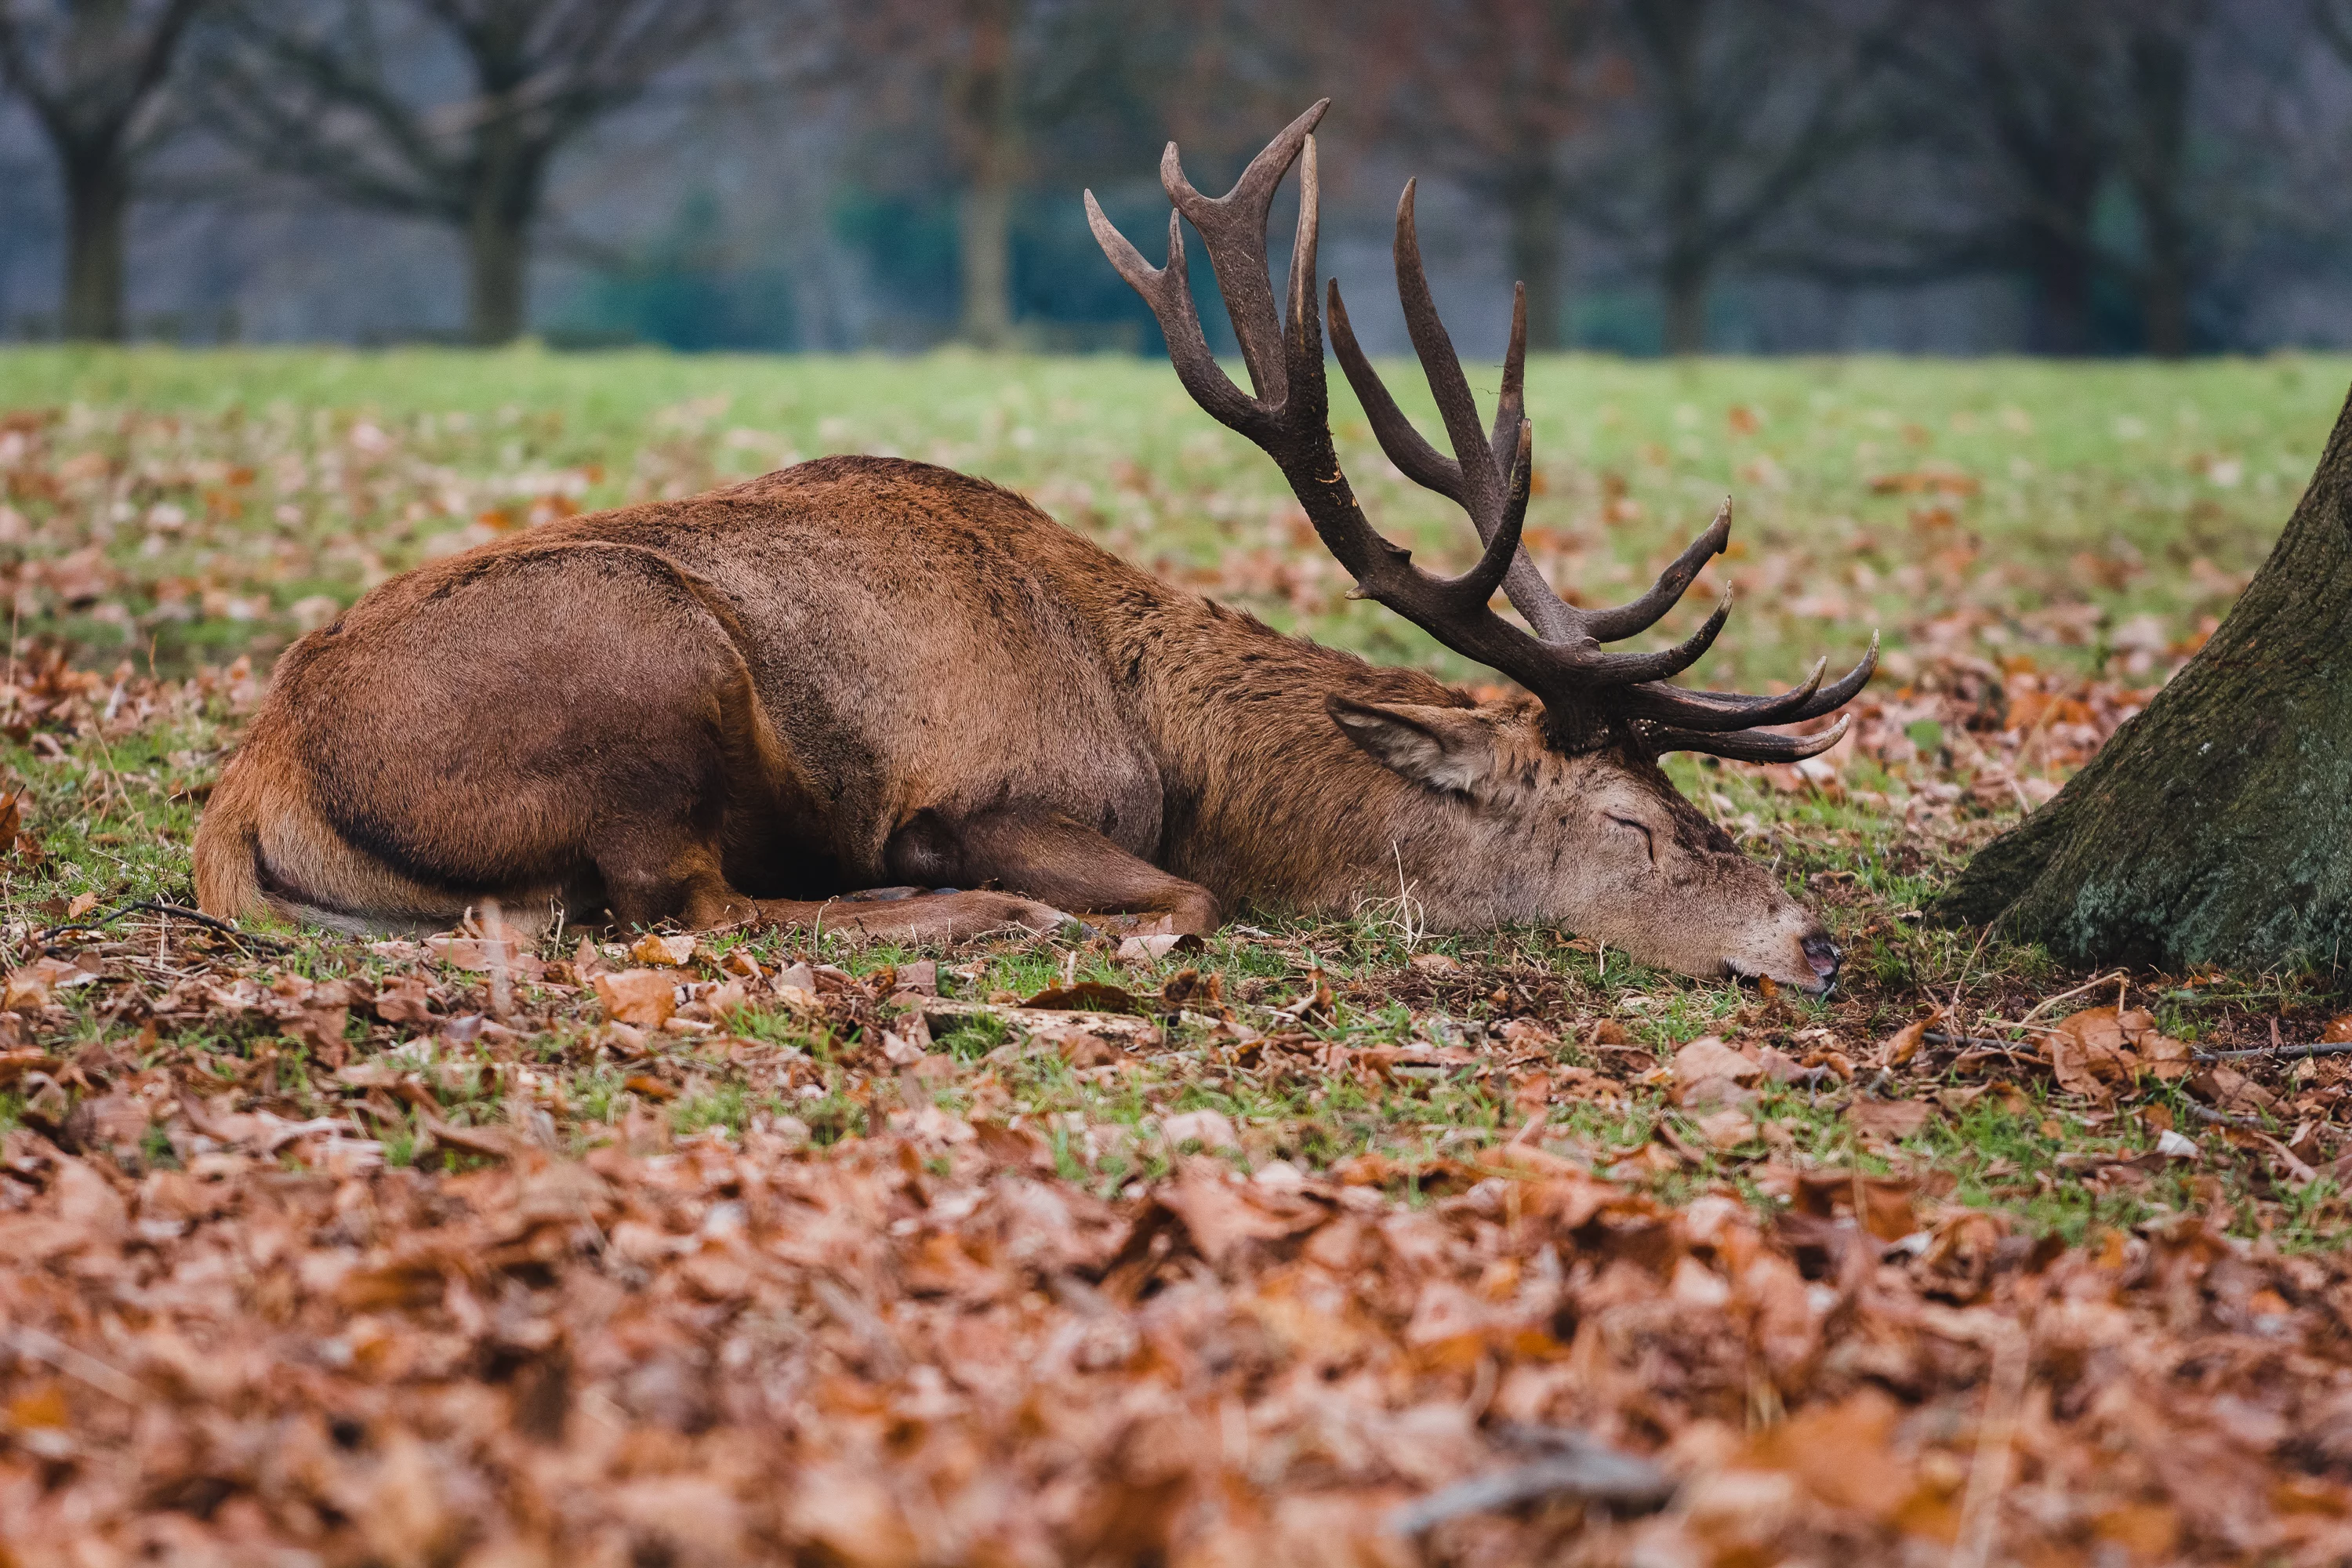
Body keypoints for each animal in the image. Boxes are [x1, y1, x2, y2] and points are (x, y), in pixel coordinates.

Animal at [188, 103, 1872, 992]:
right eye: (1635, 826)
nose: (1816, 945)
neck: (1179, 755)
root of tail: (254, 778)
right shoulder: (991, 794)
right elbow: (1187, 900)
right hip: (648, 674)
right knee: (679, 905)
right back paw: (962, 921)